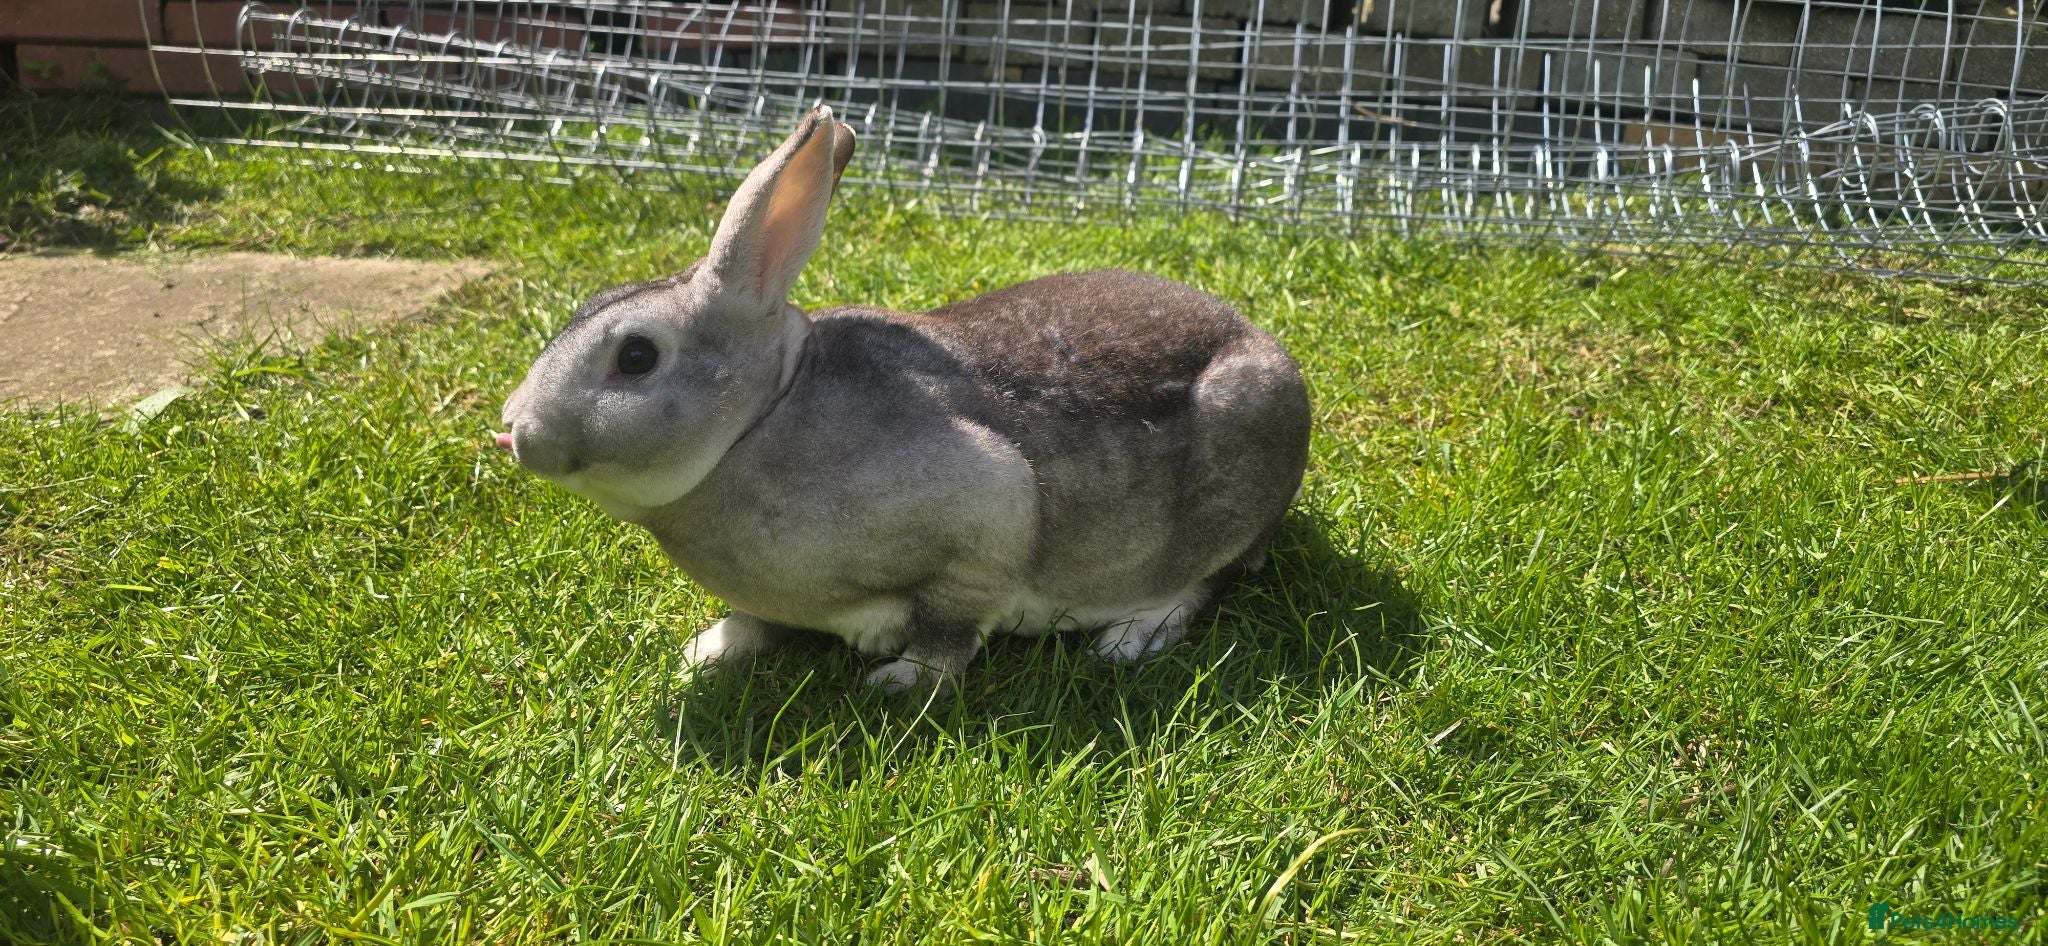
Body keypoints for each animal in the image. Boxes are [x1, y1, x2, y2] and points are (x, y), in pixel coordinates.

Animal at [496, 105, 1310, 693]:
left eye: (636, 356)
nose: (513, 428)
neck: (759, 422)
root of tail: (1272, 356)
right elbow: (753, 620)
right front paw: (706, 651)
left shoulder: (986, 516)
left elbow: (950, 629)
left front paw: (899, 678)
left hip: (1223, 496)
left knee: (1202, 582)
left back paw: (1128, 639)